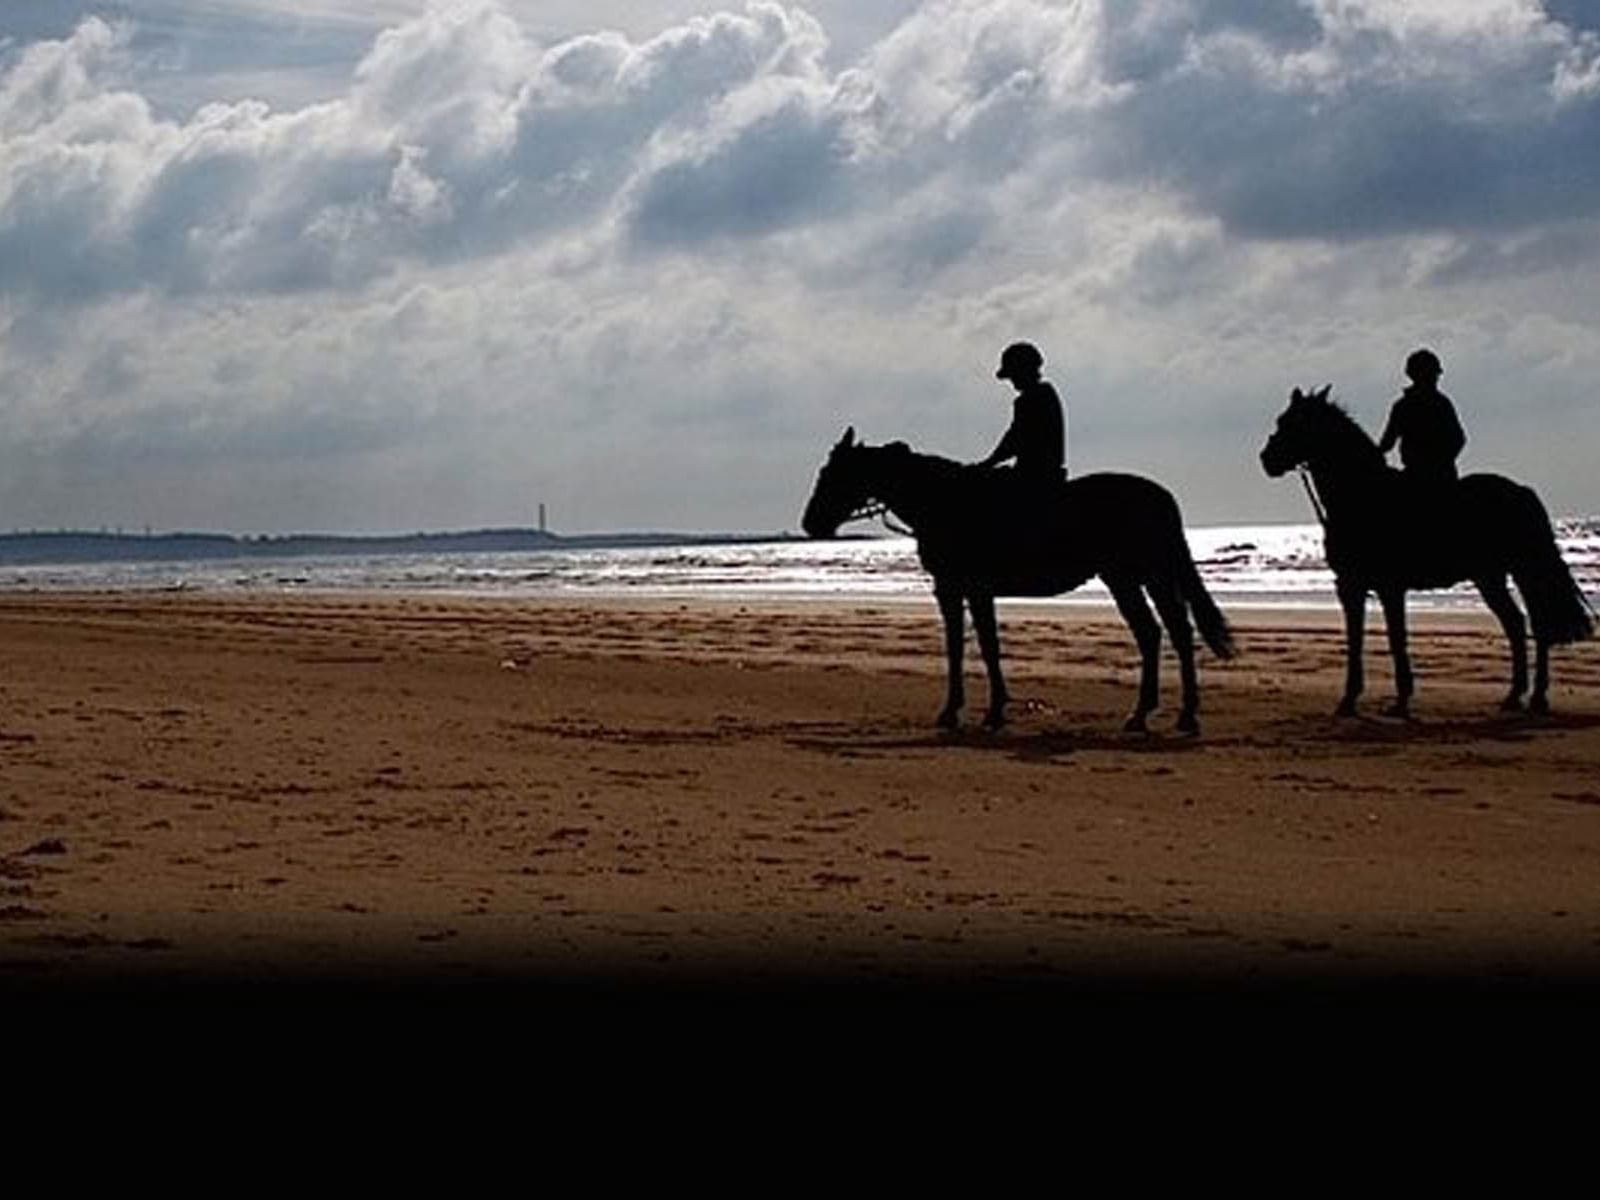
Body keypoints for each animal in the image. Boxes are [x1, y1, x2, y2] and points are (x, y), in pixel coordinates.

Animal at [800, 428, 1235, 739]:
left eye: (832, 474)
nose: (810, 523)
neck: (945, 501)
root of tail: (1160, 496)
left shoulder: (961, 587)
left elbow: (975, 646)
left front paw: (974, 711)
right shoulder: (964, 589)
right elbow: (974, 645)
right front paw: (980, 709)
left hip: (1138, 575)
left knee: (1166, 632)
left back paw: (1171, 715)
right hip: (1136, 577)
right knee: (1163, 632)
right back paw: (1159, 715)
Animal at [1260, 390, 1587, 720]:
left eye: (1293, 423)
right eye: (1281, 420)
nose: (1266, 459)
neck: (1361, 495)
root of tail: (1521, 490)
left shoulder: (1388, 586)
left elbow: (1395, 637)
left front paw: (1400, 700)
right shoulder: (1351, 585)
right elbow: (1356, 638)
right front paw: (1350, 700)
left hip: (1524, 569)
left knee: (1539, 625)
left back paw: (1538, 698)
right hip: (1490, 576)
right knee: (1517, 624)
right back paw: (1514, 696)